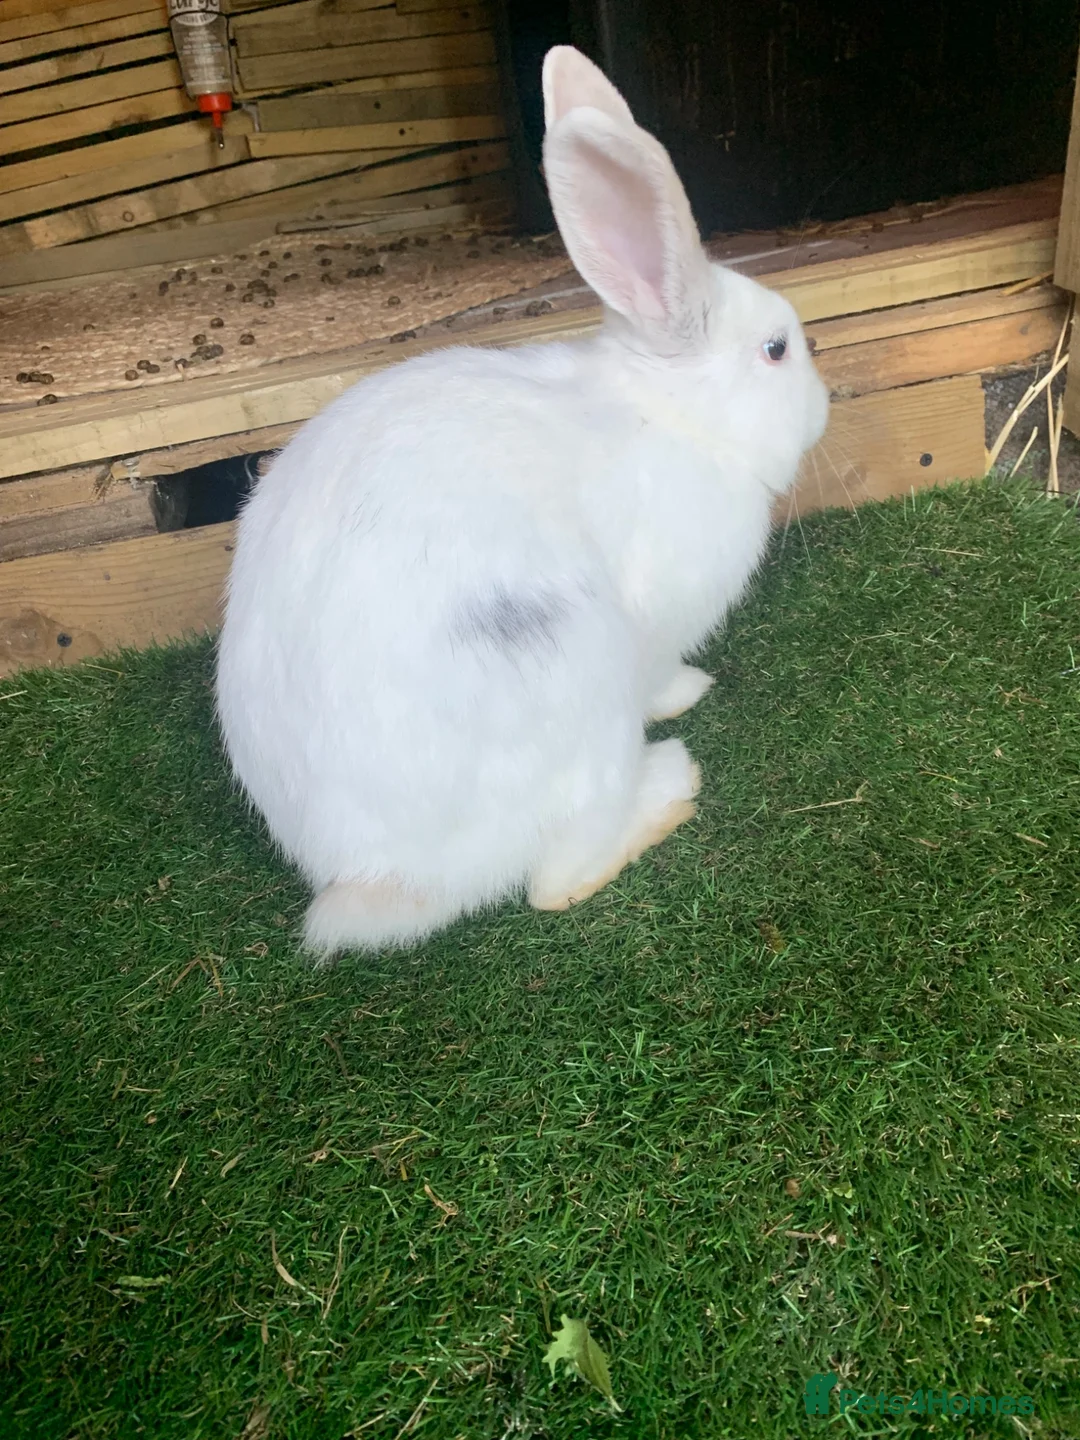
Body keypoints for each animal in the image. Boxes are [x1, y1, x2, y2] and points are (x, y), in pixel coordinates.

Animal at [215, 44, 829, 956]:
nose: (824, 407)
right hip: (582, 683)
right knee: (556, 880)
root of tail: (383, 881)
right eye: (777, 350)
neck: (668, 414)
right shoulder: (656, 617)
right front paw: (685, 692)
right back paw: (667, 785)